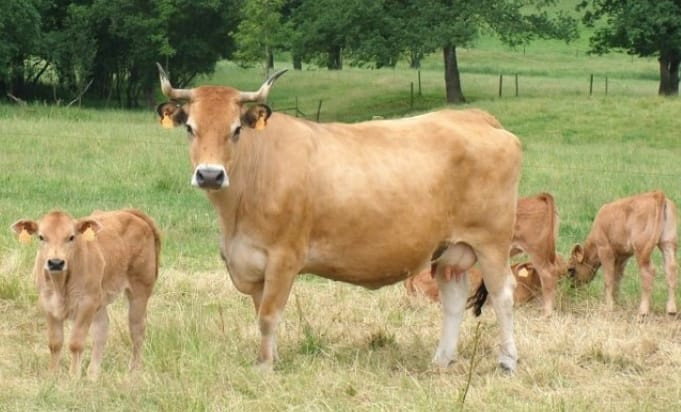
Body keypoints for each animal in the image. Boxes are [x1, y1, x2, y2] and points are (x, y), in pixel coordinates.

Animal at [11, 209, 161, 379]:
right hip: (100, 299)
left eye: (71, 237)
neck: (60, 286)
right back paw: (92, 375)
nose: (55, 263)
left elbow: (76, 343)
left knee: (137, 329)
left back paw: (133, 371)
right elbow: (55, 343)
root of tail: (129, 212)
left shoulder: (86, 303)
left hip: (140, 290)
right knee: (102, 329)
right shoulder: (48, 304)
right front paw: (52, 375)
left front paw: (73, 376)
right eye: (41, 237)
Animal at [155, 63, 522, 372]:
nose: (210, 175)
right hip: (449, 248)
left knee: (503, 293)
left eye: (235, 130)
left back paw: (507, 361)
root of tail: (475, 117)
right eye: (190, 128)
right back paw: (442, 359)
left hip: (492, 240)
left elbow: (269, 316)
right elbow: (261, 313)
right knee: (454, 298)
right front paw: (271, 358)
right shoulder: (253, 261)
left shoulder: (284, 257)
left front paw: (265, 367)